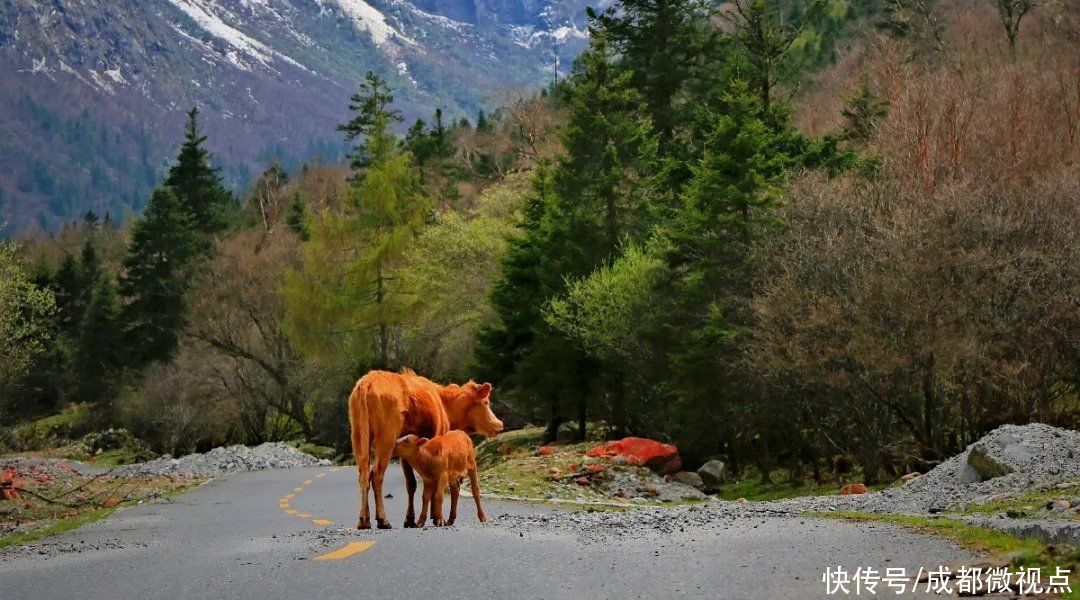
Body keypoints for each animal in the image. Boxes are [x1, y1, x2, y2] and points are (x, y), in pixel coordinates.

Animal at [347, 366, 503, 526]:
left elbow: (411, 484)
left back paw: (364, 520)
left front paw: (410, 518)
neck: (444, 404)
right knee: (377, 474)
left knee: (364, 474)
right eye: (486, 402)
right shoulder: (437, 435)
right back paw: (382, 520)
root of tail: (366, 383)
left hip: (358, 437)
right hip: (386, 438)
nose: (499, 424)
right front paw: (435, 516)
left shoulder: (406, 449)